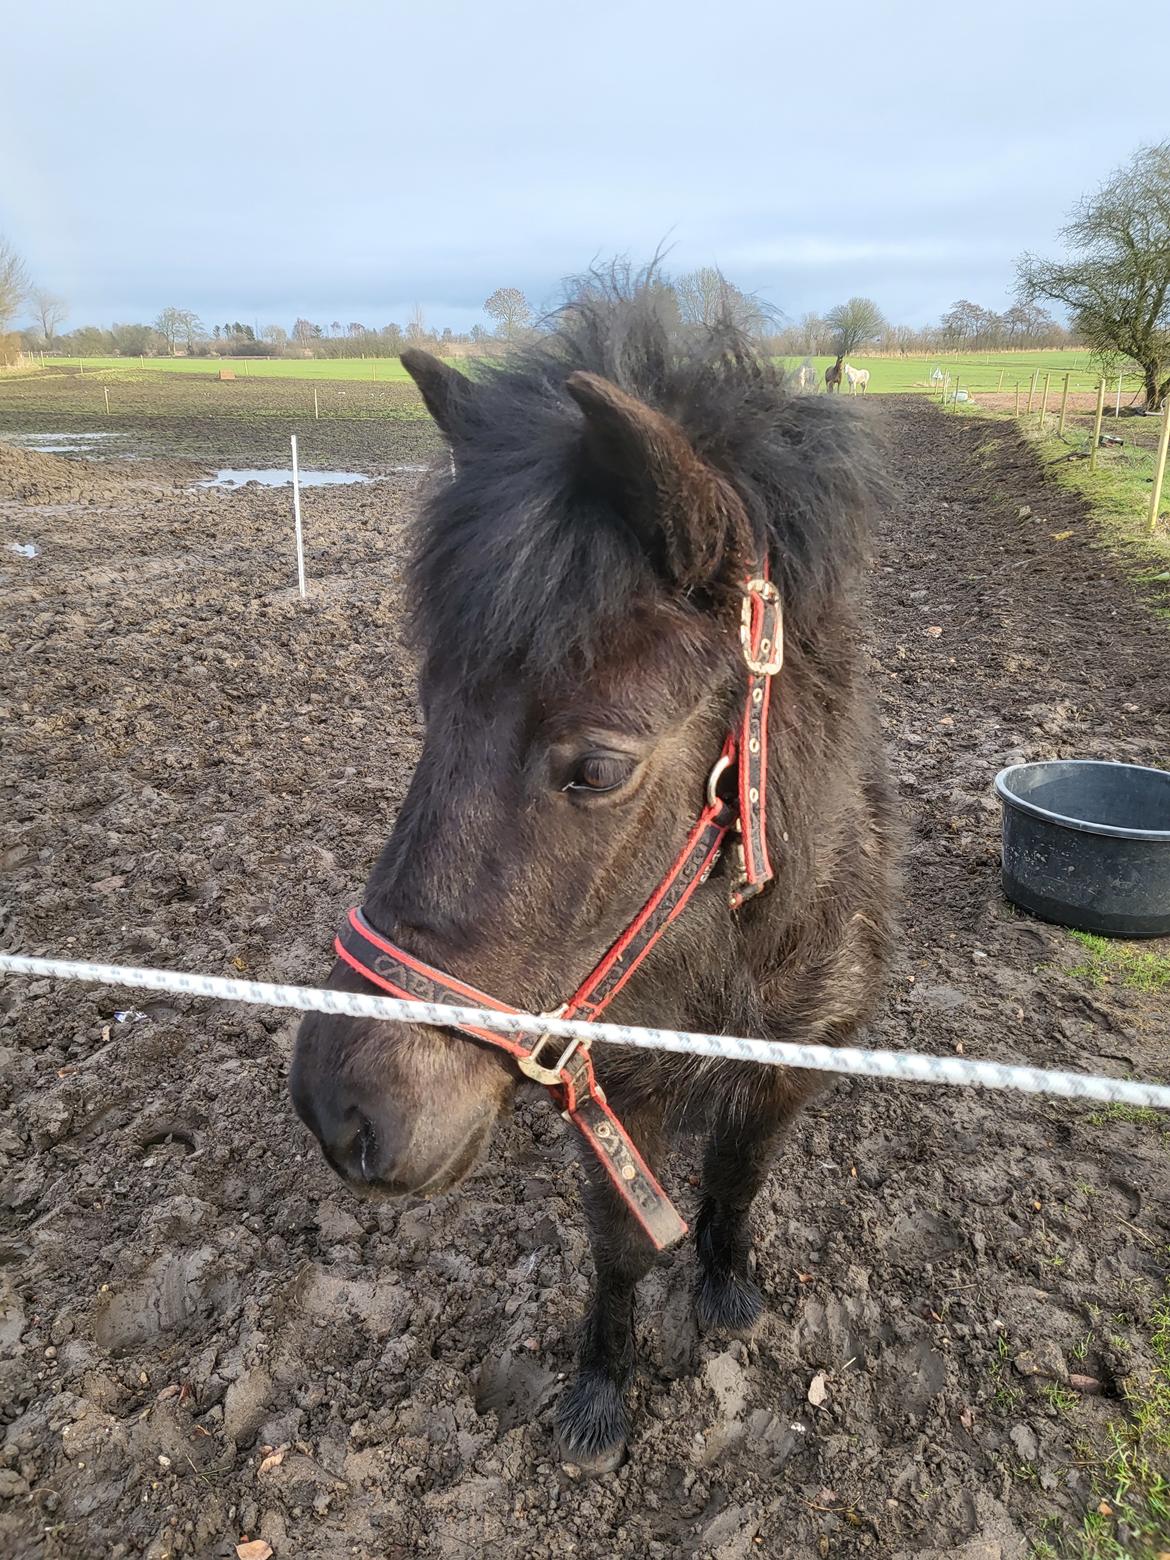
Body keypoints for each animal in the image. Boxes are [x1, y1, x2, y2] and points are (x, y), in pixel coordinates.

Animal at [293, 277, 898, 1472]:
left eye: (599, 766)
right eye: (430, 710)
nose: (340, 1109)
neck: (733, 948)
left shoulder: (793, 1066)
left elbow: (739, 1178)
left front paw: (723, 1287)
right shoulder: (617, 1086)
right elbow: (621, 1245)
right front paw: (600, 1393)